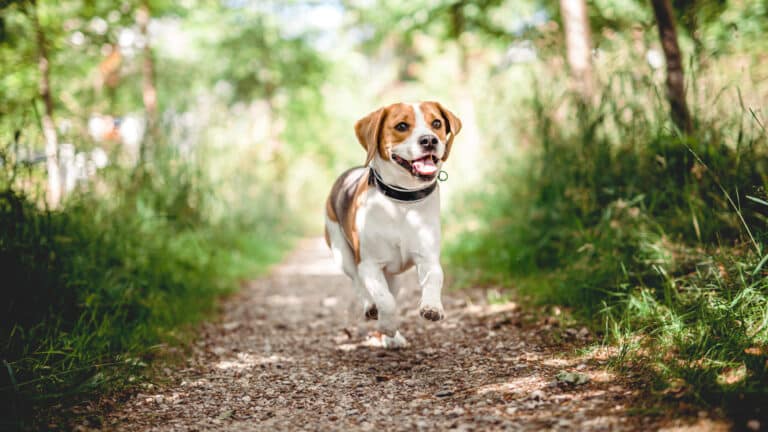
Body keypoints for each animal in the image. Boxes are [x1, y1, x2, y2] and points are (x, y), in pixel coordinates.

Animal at [324, 101, 462, 348]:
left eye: (437, 123)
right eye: (401, 126)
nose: (429, 140)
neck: (401, 204)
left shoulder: (427, 259)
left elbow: (435, 278)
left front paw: (432, 307)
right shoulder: (369, 264)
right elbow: (385, 300)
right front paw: (388, 324)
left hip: (393, 276)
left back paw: (391, 338)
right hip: (342, 254)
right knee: (358, 284)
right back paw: (371, 308)